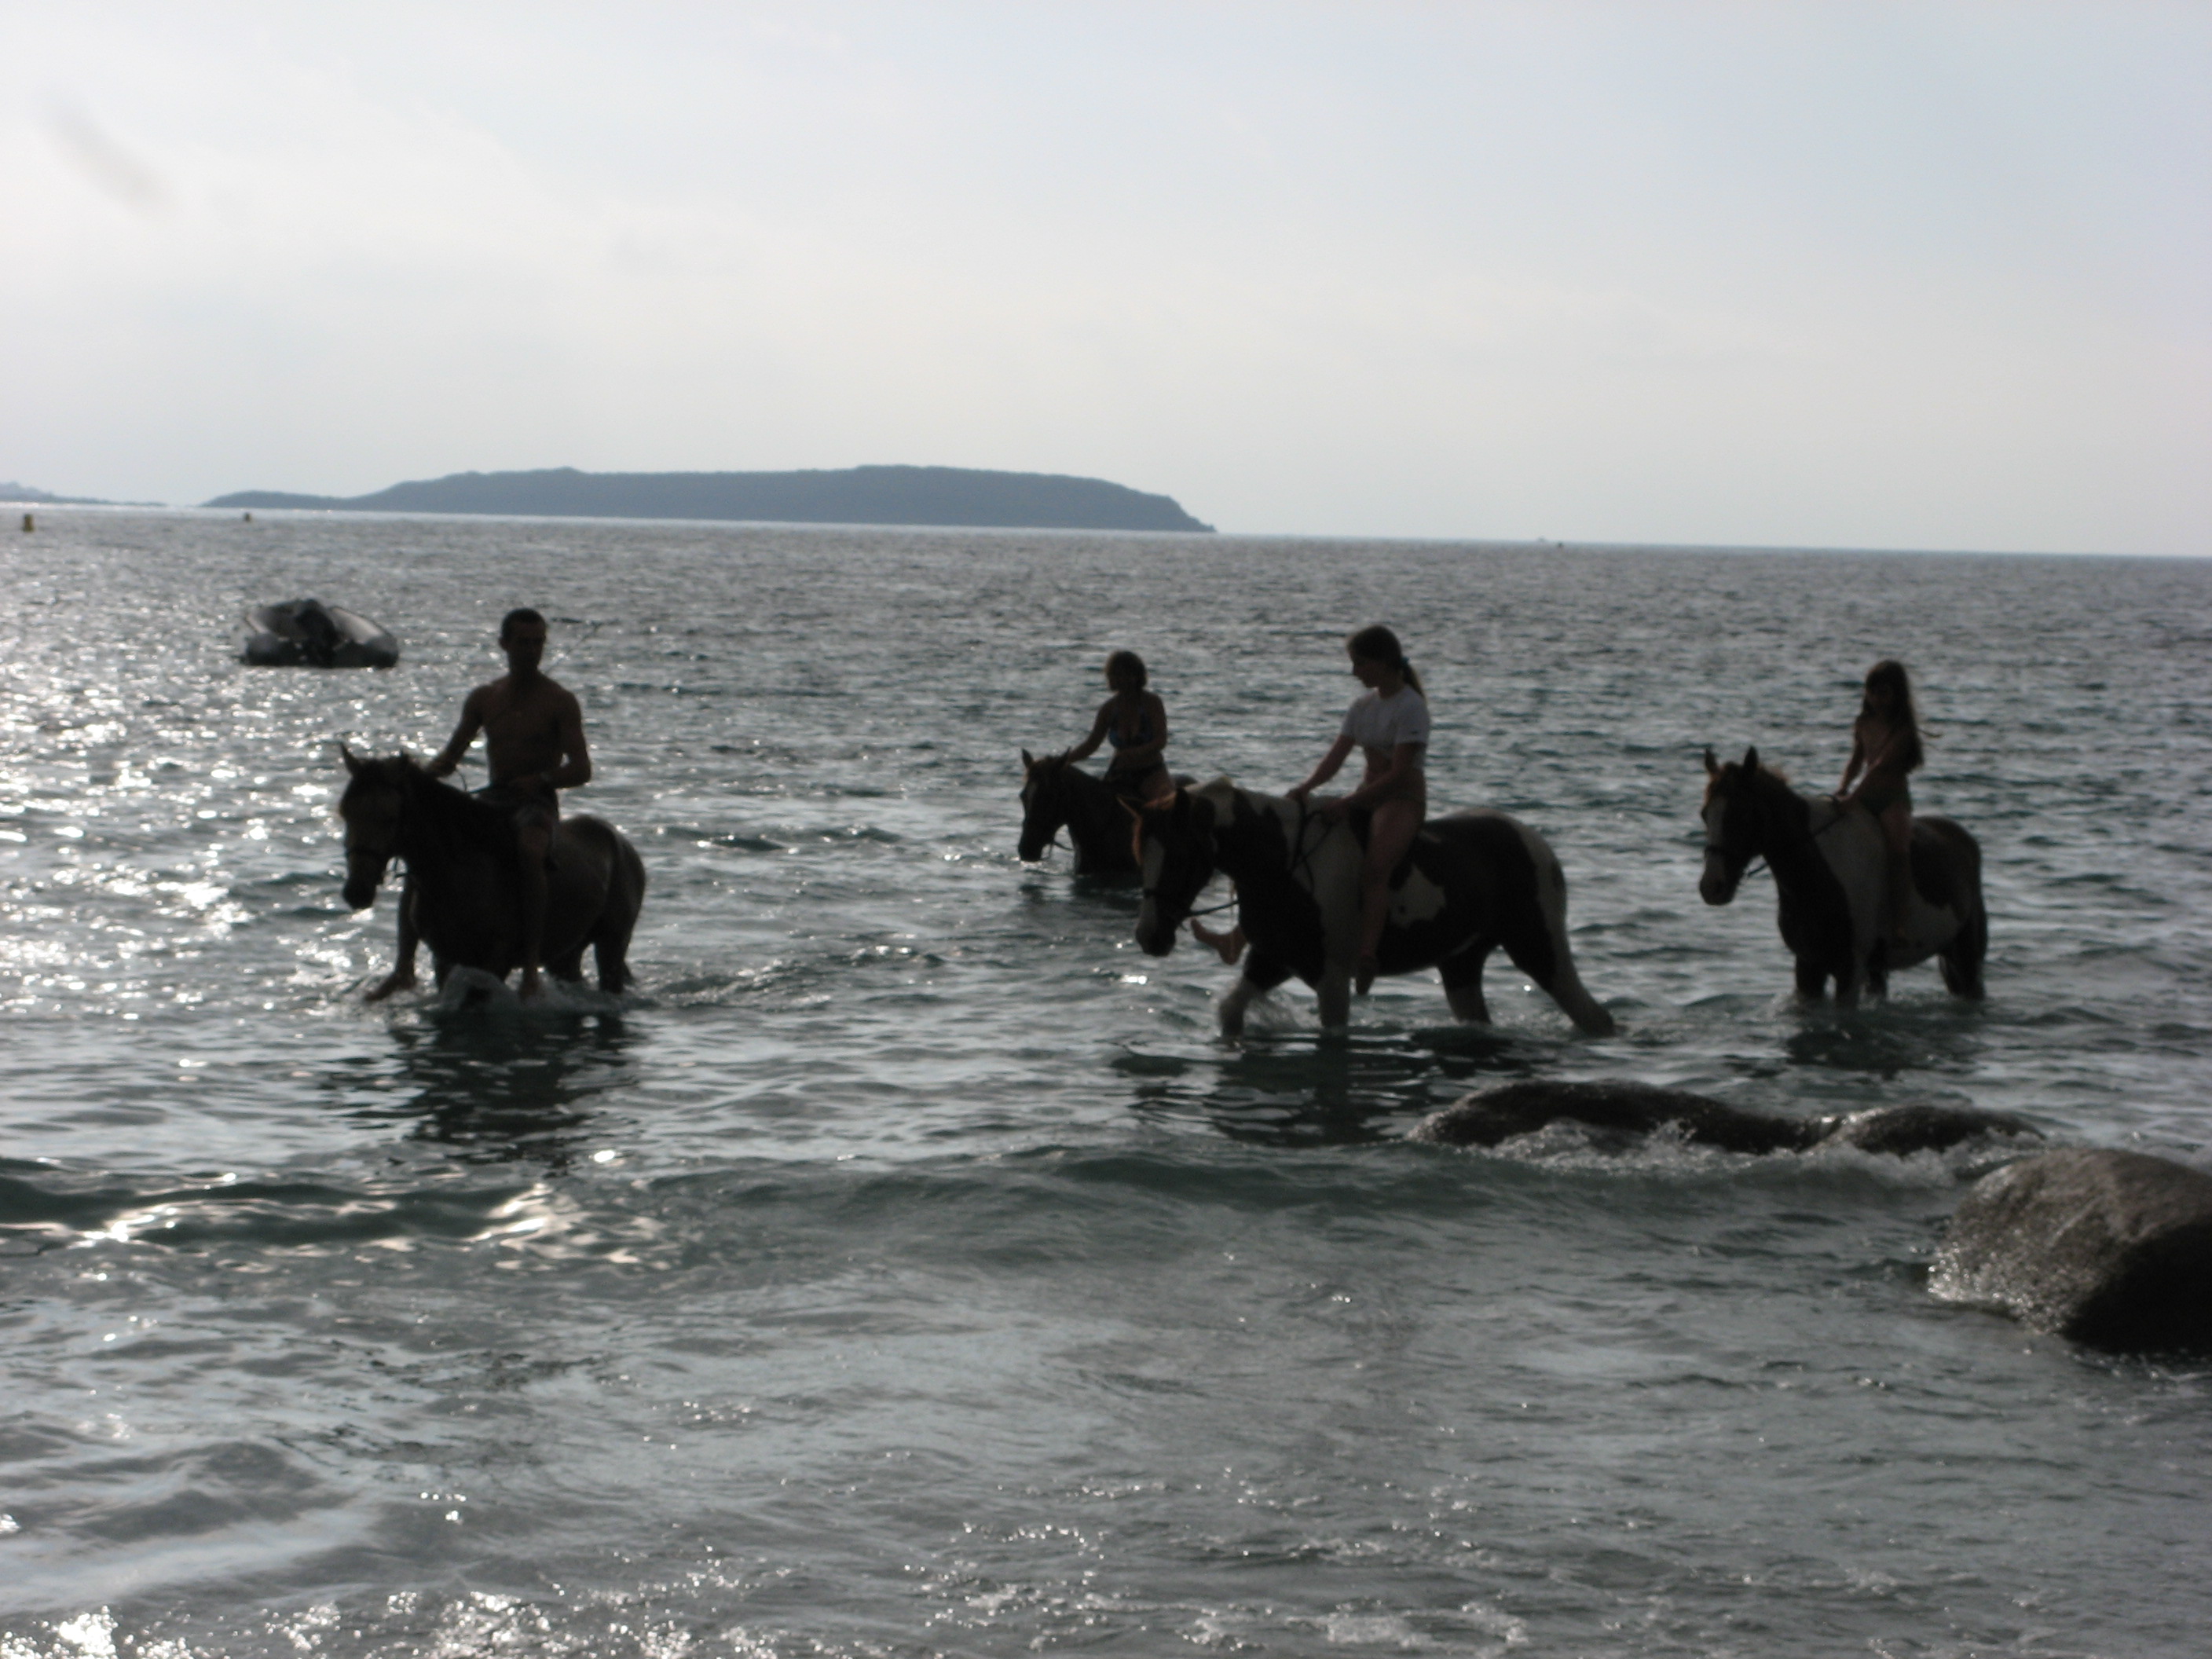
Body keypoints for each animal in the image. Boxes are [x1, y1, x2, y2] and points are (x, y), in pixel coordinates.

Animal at [338, 752, 646, 999]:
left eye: (390, 818)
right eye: (345, 813)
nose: (356, 891)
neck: (458, 875)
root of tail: (620, 842)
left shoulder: (497, 958)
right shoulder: (445, 957)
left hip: (612, 944)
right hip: (566, 952)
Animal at [1132, 782, 1619, 1039]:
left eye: (1178, 856)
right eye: (1141, 855)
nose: (1149, 937)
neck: (1284, 865)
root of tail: (1537, 845)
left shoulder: (1331, 977)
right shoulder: (1271, 960)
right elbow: (1231, 1011)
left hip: (1539, 948)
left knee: (1592, 1014)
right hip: (1461, 965)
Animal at [1698, 747, 1999, 1009]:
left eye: (1740, 813)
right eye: (1704, 814)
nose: (1712, 887)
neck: (1817, 875)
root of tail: (1964, 840)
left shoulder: (1850, 969)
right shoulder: (1808, 966)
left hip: (1966, 957)